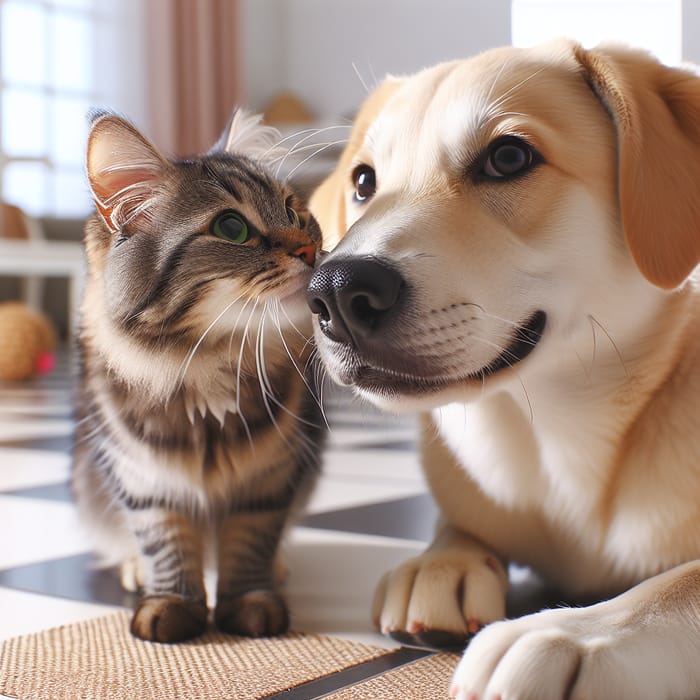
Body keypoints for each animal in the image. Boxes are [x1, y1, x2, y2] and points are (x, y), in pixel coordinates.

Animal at [72, 110, 324, 644]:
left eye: (293, 210)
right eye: (232, 228)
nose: (312, 248)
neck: (207, 362)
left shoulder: (270, 478)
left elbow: (250, 545)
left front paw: (251, 606)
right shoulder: (143, 480)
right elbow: (166, 547)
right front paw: (170, 609)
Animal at [306, 41, 700, 696]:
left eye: (509, 157)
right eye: (364, 181)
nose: (336, 292)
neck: (555, 428)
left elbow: (677, 583)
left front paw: (569, 634)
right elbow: (456, 523)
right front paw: (440, 562)